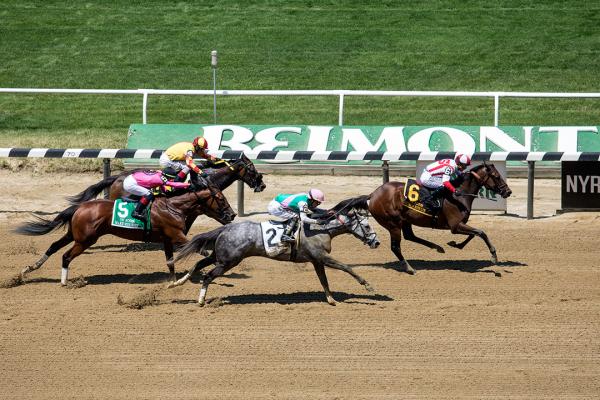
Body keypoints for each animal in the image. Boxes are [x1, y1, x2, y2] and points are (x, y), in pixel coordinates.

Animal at [15, 186, 236, 286]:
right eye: (220, 198)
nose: (232, 215)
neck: (174, 207)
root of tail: (80, 207)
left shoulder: (167, 239)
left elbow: (170, 261)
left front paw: (173, 282)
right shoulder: (176, 235)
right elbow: (197, 248)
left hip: (74, 235)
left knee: (53, 246)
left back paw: (29, 269)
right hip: (85, 240)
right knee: (66, 256)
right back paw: (63, 282)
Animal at [171, 196, 382, 306]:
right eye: (367, 226)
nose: (377, 242)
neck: (321, 229)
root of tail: (225, 228)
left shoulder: (317, 260)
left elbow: (324, 280)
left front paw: (331, 299)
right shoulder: (322, 256)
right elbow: (347, 267)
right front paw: (368, 286)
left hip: (220, 257)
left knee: (199, 264)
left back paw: (177, 283)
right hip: (228, 261)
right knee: (207, 275)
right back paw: (200, 300)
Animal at [370, 162, 510, 276]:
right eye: (496, 176)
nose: (508, 192)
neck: (459, 195)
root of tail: (373, 195)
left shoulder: (460, 225)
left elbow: (474, 234)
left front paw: (456, 244)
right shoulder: (455, 226)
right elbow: (481, 232)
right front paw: (494, 256)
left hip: (404, 221)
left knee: (410, 236)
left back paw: (437, 247)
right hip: (393, 223)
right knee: (395, 247)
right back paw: (410, 269)